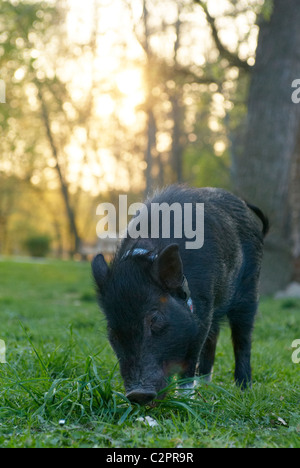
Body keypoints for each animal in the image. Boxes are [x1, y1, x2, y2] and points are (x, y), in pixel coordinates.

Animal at [92, 185, 270, 404]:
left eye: (155, 318)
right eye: (112, 329)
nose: (137, 394)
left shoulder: (202, 312)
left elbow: (190, 359)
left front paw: (184, 399)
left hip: (249, 290)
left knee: (242, 338)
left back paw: (243, 389)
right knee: (214, 338)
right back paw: (205, 385)